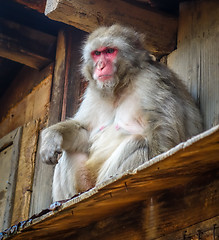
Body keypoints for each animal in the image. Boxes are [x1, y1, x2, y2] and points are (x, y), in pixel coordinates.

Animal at [39, 24, 202, 202]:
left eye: (110, 51)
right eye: (97, 53)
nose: (100, 66)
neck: (119, 87)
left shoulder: (151, 79)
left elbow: (162, 127)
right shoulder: (93, 92)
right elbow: (85, 131)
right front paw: (52, 136)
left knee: (139, 143)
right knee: (69, 153)